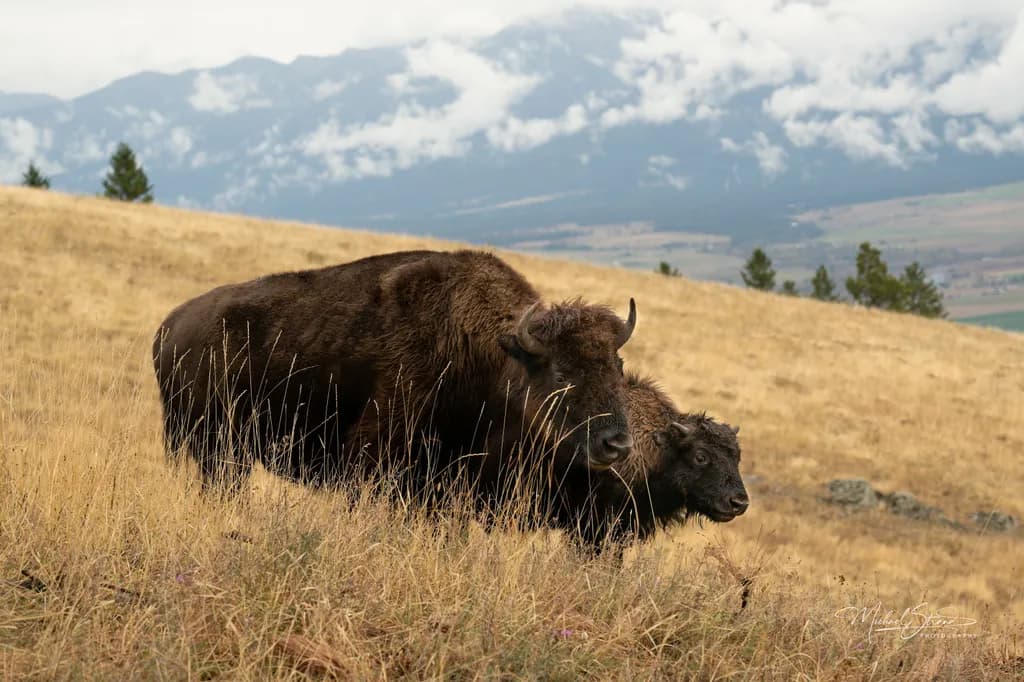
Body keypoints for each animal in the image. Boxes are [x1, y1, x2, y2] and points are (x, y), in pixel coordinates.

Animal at [153, 249, 637, 505]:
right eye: (560, 372)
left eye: (618, 367)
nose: (617, 444)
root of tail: (170, 325)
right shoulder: (373, 456)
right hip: (214, 448)